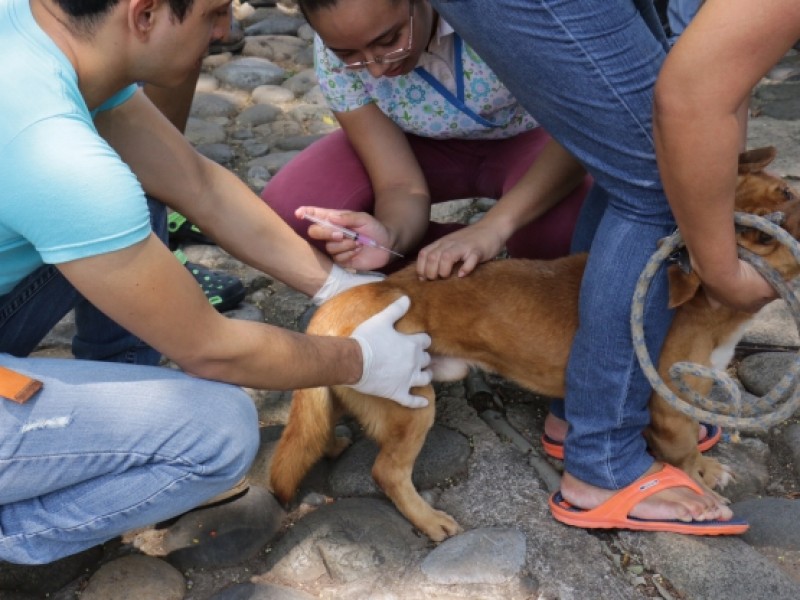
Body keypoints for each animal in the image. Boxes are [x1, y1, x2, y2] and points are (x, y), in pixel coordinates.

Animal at [270, 148, 800, 540]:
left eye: (788, 191)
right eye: (756, 237)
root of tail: (344, 303)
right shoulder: (667, 404)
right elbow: (685, 444)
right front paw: (700, 476)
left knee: (319, 421)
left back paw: (333, 442)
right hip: (413, 403)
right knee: (387, 473)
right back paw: (427, 519)